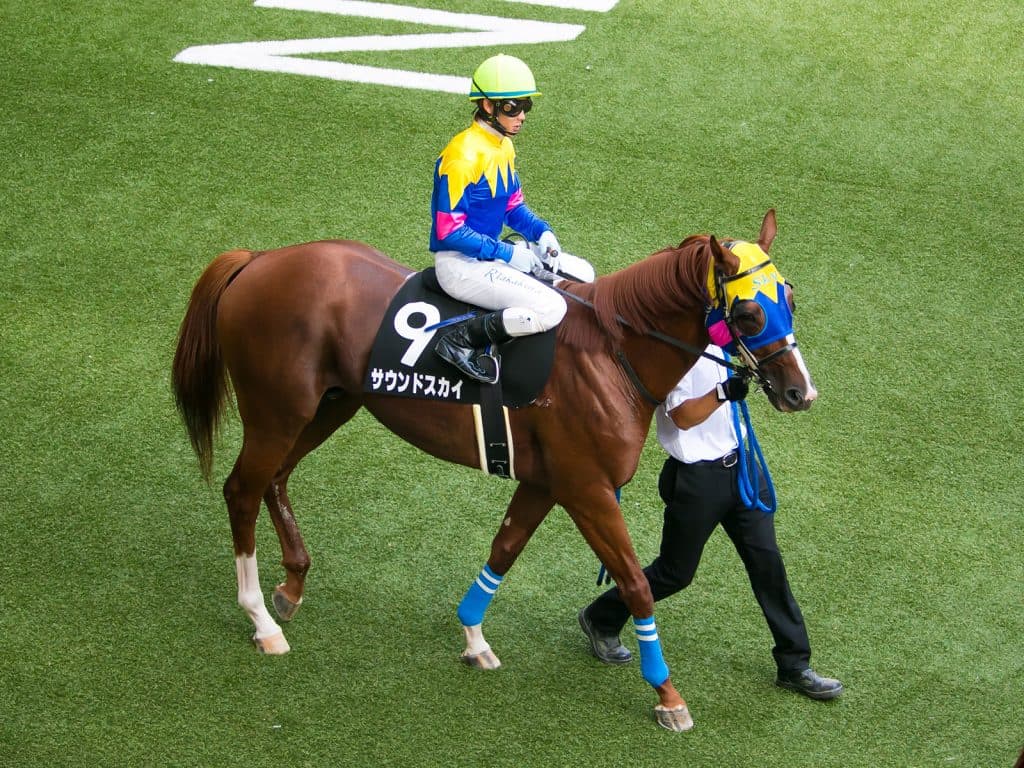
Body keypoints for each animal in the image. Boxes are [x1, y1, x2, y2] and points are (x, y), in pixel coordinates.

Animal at [171, 209, 816, 731]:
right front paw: (668, 696)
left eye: (787, 295)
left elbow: (504, 550)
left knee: (274, 480)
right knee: (242, 489)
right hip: (276, 410)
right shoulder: (588, 489)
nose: (799, 392)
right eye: (749, 311)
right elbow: (636, 584)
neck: (613, 352)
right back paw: (262, 620)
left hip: (332, 403)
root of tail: (258, 260)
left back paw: (291, 588)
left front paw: (473, 637)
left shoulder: (545, 482)